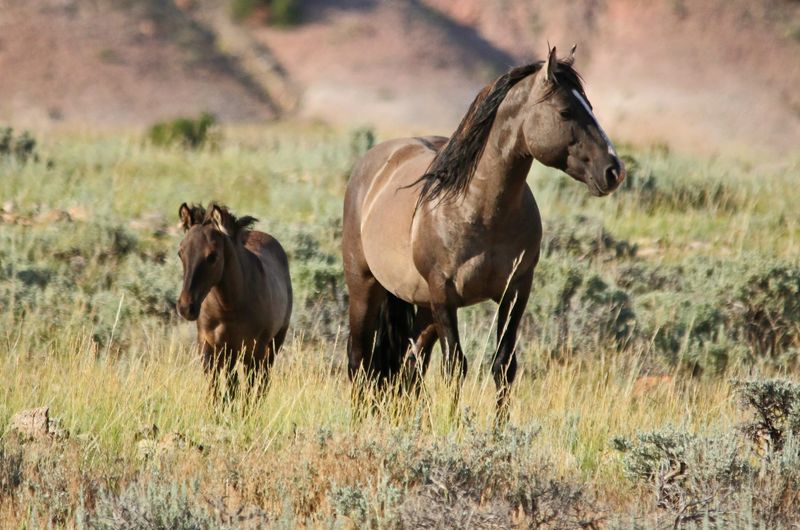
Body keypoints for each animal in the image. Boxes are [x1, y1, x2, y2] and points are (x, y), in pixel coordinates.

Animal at [175, 200, 290, 398]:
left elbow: (249, 392)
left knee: (262, 384)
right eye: (180, 253)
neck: (228, 307)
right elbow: (216, 391)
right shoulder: (209, 347)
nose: (186, 307)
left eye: (212, 256)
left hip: (273, 344)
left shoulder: (254, 349)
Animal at [342, 45, 624, 420]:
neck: (480, 210)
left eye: (589, 106)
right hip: (366, 287)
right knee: (360, 357)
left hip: (423, 307)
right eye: (566, 111)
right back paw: (359, 417)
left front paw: (499, 427)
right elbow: (454, 365)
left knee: (410, 363)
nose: (613, 170)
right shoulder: (444, 294)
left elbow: (503, 364)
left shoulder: (516, 291)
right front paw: (452, 423)